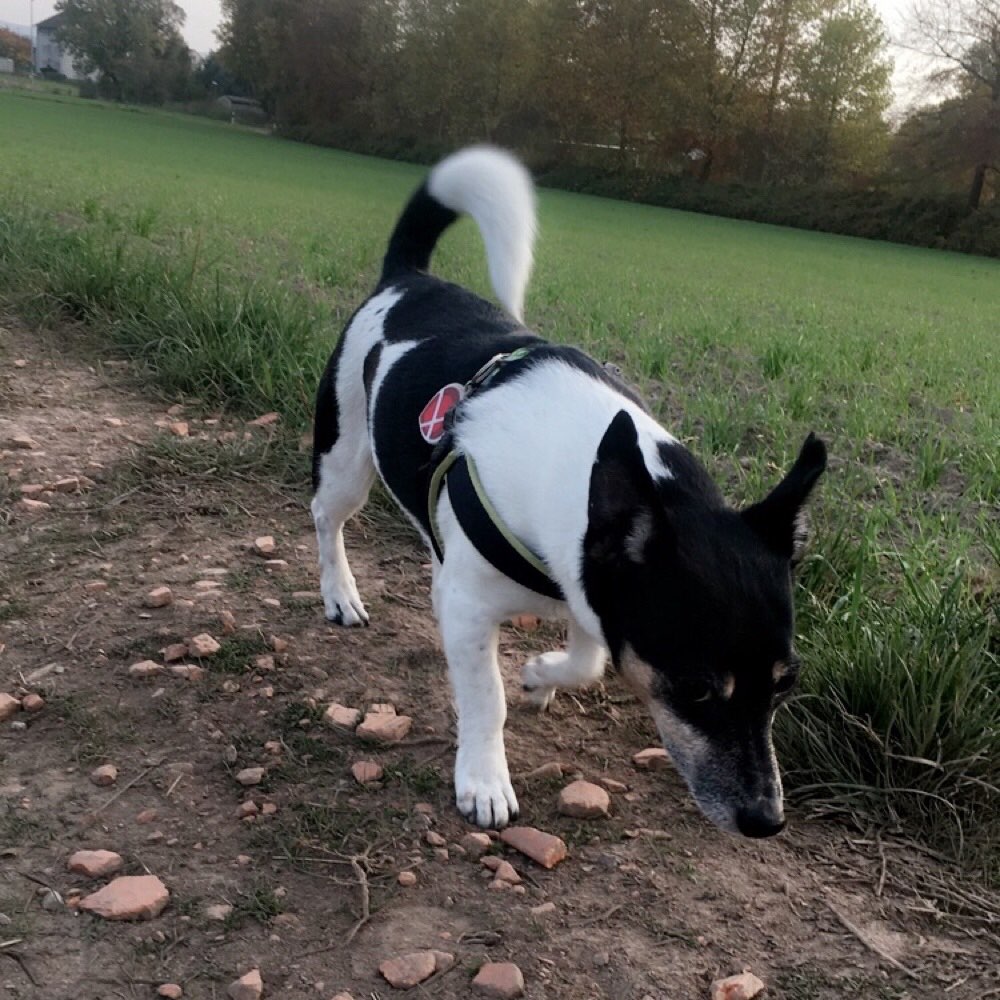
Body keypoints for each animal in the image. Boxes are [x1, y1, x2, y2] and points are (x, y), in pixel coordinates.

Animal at [314, 145, 828, 836]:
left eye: (785, 685)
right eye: (696, 688)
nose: (766, 820)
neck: (583, 463)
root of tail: (409, 279)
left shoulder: (588, 584)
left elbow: (588, 661)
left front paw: (540, 676)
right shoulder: (482, 605)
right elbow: (487, 696)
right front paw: (485, 778)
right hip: (346, 457)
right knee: (328, 517)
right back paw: (340, 592)